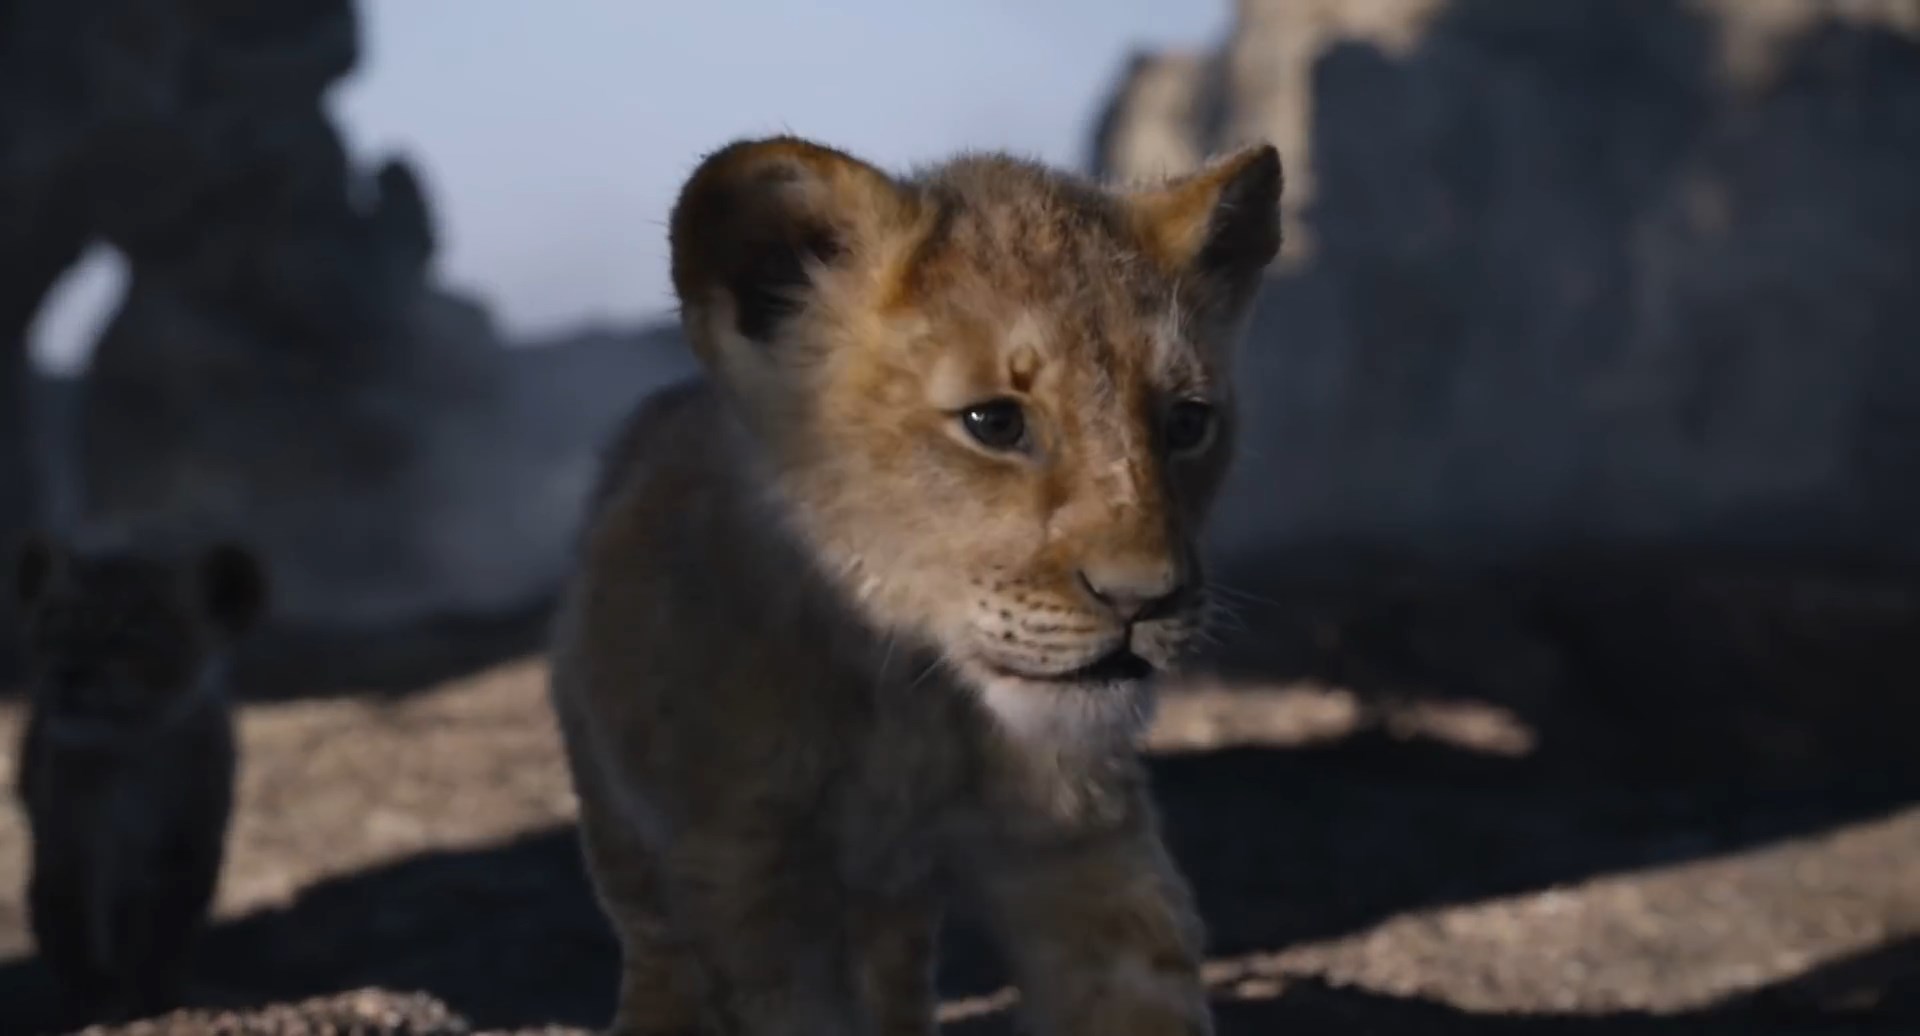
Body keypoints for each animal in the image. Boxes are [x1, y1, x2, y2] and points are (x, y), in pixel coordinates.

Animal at [549, 134, 1281, 1036]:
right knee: (652, 939)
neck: (910, 702)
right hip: (614, 805)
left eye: (1186, 423)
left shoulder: (1080, 839)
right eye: (994, 423)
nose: (1146, 598)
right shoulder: (746, 877)